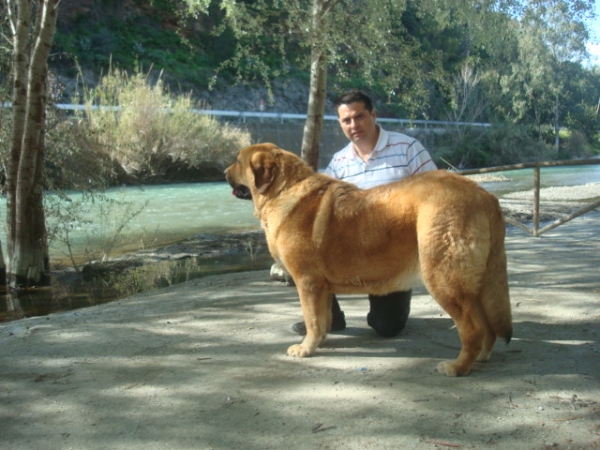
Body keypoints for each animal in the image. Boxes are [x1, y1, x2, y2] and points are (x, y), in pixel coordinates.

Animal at [225, 144, 510, 376]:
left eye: (238, 161)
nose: (224, 171)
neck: (284, 190)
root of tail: (484, 195)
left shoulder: (307, 282)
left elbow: (312, 319)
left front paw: (306, 349)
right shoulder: (321, 287)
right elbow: (322, 319)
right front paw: (320, 341)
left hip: (444, 280)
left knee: (473, 328)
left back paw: (458, 366)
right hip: (476, 284)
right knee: (488, 326)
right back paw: (481, 356)